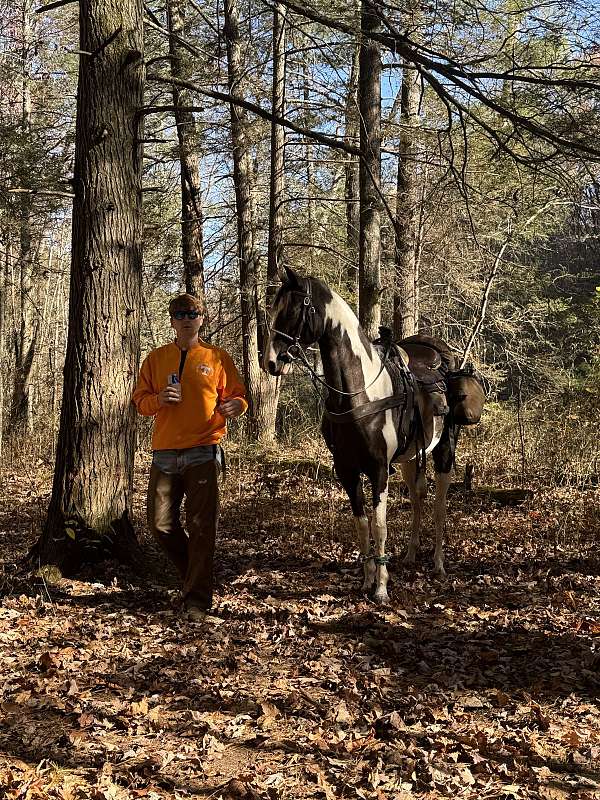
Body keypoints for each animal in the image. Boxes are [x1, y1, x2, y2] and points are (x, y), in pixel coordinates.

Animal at [264, 266, 486, 604]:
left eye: (293, 309)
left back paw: (437, 563)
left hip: (444, 451)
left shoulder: (379, 469)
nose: (271, 362)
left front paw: (381, 587)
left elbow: (380, 525)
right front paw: (367, 580)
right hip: (410, 459)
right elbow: (361, 524)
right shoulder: (347, 470)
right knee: (418, 497)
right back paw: (410, 554)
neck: (360, 393)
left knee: (439, 504)